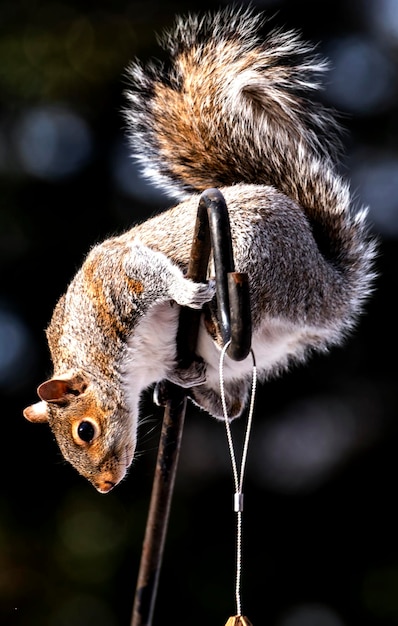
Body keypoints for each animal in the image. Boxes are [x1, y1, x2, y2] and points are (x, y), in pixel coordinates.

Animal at [21, 6, 376, 492]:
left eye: (85, 430)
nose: (105, 485)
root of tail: (330, 287)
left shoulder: (117, 280)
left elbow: (152, 272)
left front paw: (184, 291)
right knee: (236, 404)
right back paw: (190, 381)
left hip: (258, 253)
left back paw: (208, 316)